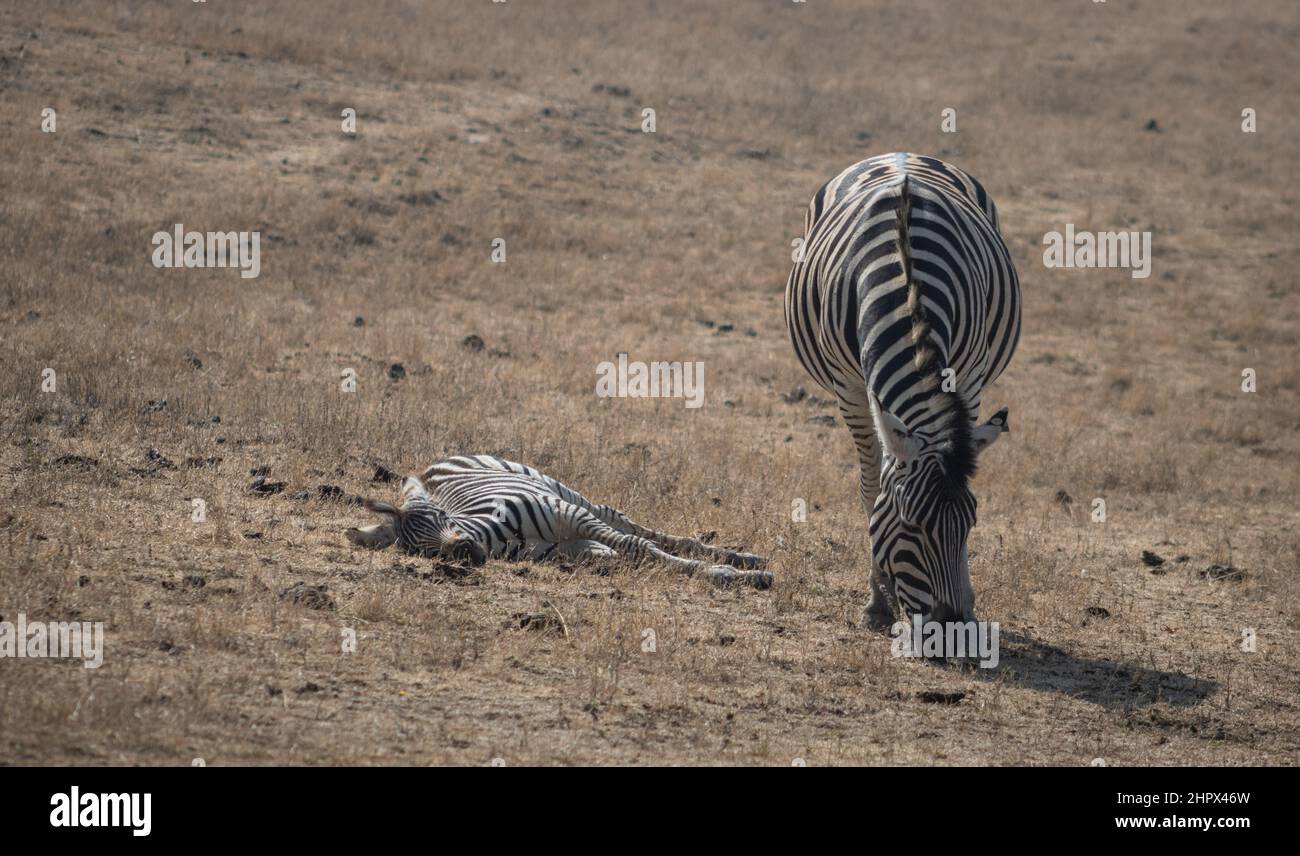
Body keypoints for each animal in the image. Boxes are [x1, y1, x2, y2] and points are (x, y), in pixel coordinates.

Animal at [345, 452, 769, 588]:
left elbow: (639, 546)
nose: (465, 551)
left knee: (638, 529)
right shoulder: (560, 547)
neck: (500, 537)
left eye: (443, 516)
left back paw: (744, 559)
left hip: (566, 493)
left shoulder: (571, 514)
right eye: (421, 550)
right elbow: (620, 552)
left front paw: (725, 573)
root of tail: (435, 465)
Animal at [785, 150, 1019, 624]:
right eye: (911, 523)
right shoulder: (851, 387)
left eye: (971, 522)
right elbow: (872, 486)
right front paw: (877, 600)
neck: (907, 284)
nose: (953, 625)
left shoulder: (969, 377)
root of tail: (902, 155)